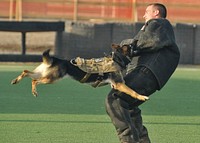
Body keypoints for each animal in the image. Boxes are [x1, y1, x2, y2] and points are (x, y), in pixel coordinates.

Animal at [10, 46, 148, 101]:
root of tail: (56, 59)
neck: (117, 58)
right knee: (34, 80)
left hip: (44, 74)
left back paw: (15, 81)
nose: (138, 44)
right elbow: (132, 91)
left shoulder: (116, 85)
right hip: (51, 78)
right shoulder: (119, 84)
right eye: (131, 47)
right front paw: (142, 97)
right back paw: (34, 91)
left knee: (26, 72)